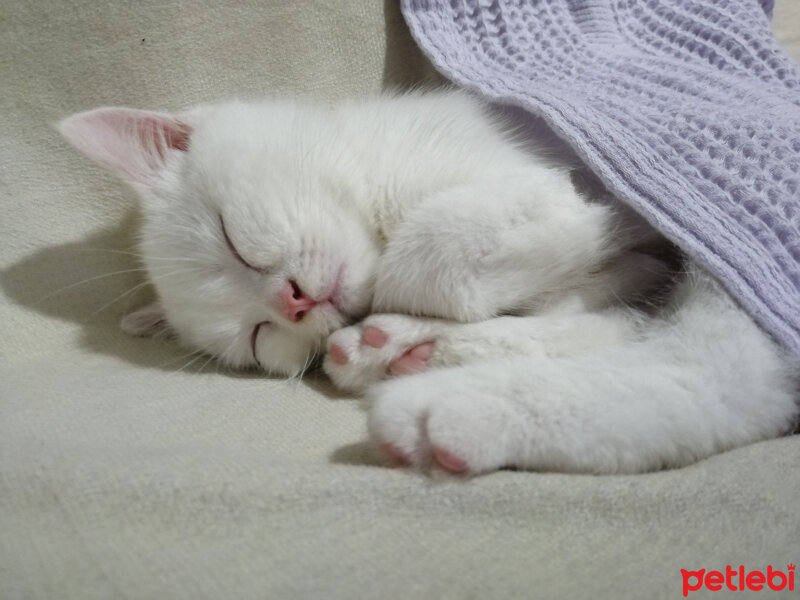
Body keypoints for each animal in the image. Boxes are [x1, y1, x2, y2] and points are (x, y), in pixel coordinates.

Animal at [57, 90, 800, 474]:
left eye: (233, 241)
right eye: (258, 337)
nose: (293, 302)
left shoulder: (549, 179)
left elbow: (429, 259)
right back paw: (418, 368)